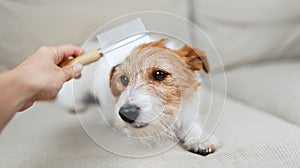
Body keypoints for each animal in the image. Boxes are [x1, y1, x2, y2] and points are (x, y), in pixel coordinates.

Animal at [56, 38, 220, 156]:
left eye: (159, 74)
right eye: (124, 79)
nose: (127, 113)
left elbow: (190, 124)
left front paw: (200, 139)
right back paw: (75, 105)